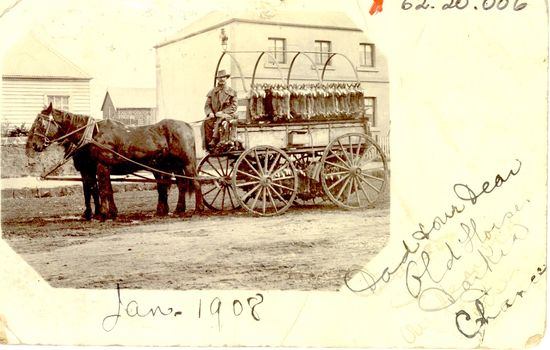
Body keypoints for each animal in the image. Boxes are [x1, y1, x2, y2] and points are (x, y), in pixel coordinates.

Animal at [25, 102, 205, 220]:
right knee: (181, 184)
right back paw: (178, 209)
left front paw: (104, 213)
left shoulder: (102, 167)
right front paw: (99, 213)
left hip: (187, 163)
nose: (34, 144)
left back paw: (199, 208)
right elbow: (94, 190)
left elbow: (103, 190)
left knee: (195, 182)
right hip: (170, 165)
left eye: (41, 123)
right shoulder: (89, 170)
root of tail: (186, 126)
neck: (92, 135)